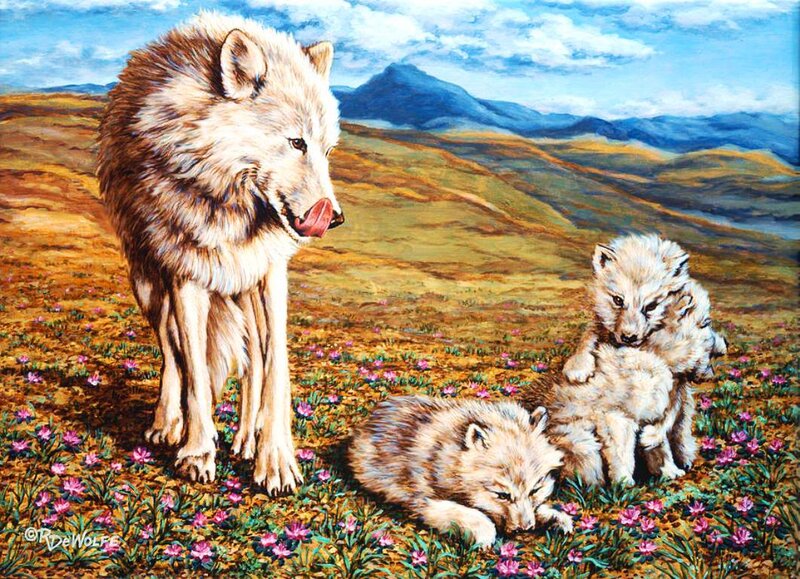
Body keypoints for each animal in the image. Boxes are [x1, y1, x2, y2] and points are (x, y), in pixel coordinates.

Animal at [97, 12, 343, 491]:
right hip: (148, 286)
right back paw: (168, 423)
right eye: (296, 143)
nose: (335, 217)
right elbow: (192, 371)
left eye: (326, 150)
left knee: (254, 363)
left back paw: (247, 439)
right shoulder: (186, 276)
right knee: (172, 352)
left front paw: (276, 460)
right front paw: (196, 451)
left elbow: (275, 369)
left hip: (244, 288)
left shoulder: (270, 274)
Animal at [348, 396, 573, 548]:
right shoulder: (422, 500)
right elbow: (467, 513)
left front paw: (555, 517)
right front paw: (485, 532)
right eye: (502, 495)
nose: (525, 529)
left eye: (535, 490)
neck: (445, 458)